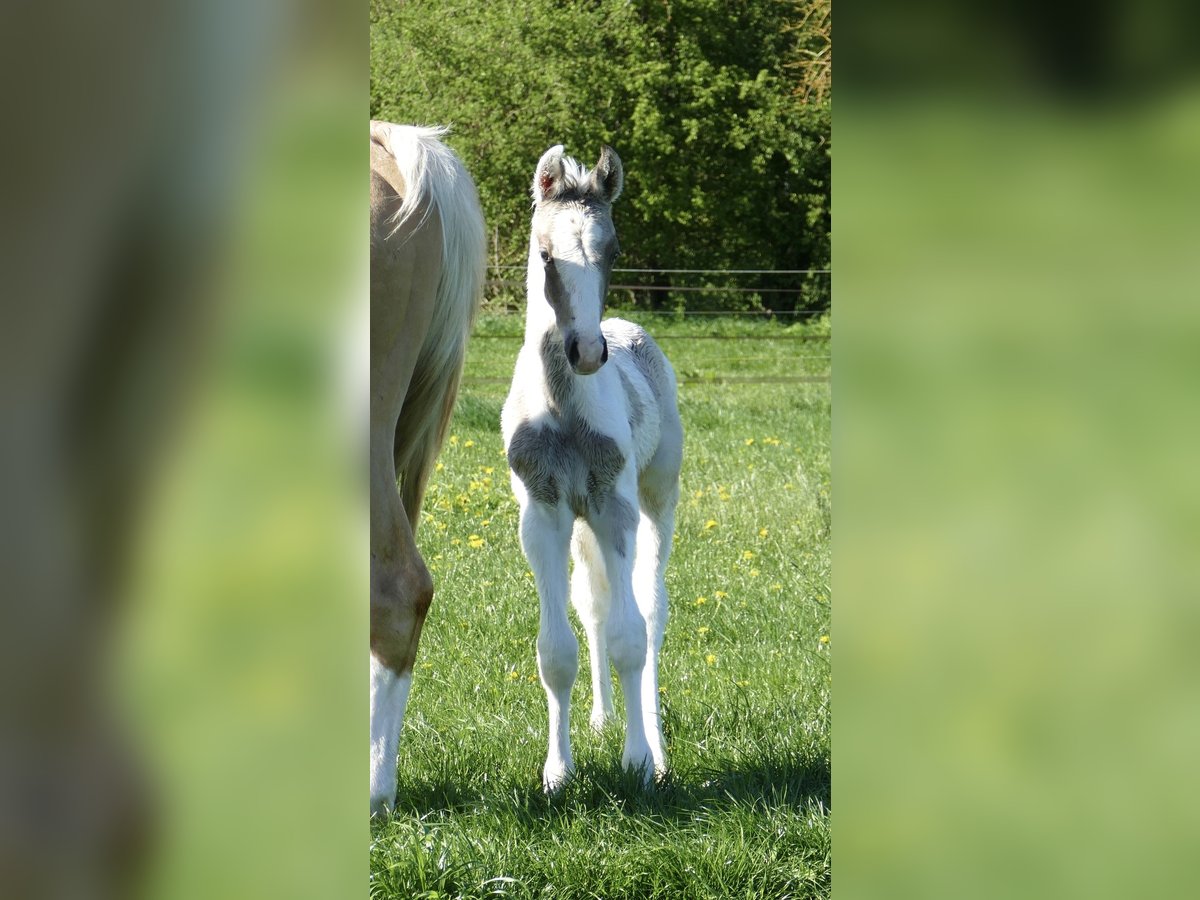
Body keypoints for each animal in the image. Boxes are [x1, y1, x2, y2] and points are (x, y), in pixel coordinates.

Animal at [501, 143, 683, 791]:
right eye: (544, 253)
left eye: (614, 250)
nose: (585, 351)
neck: (563, 409)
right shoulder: (545, 514)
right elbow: (556, 651)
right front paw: (558, 772)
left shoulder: (614, 507)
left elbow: (631, 637)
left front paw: (639, 764)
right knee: (595, 605)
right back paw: (603, 719)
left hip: (658, 497)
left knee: (650, 611)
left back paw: (654, 741)